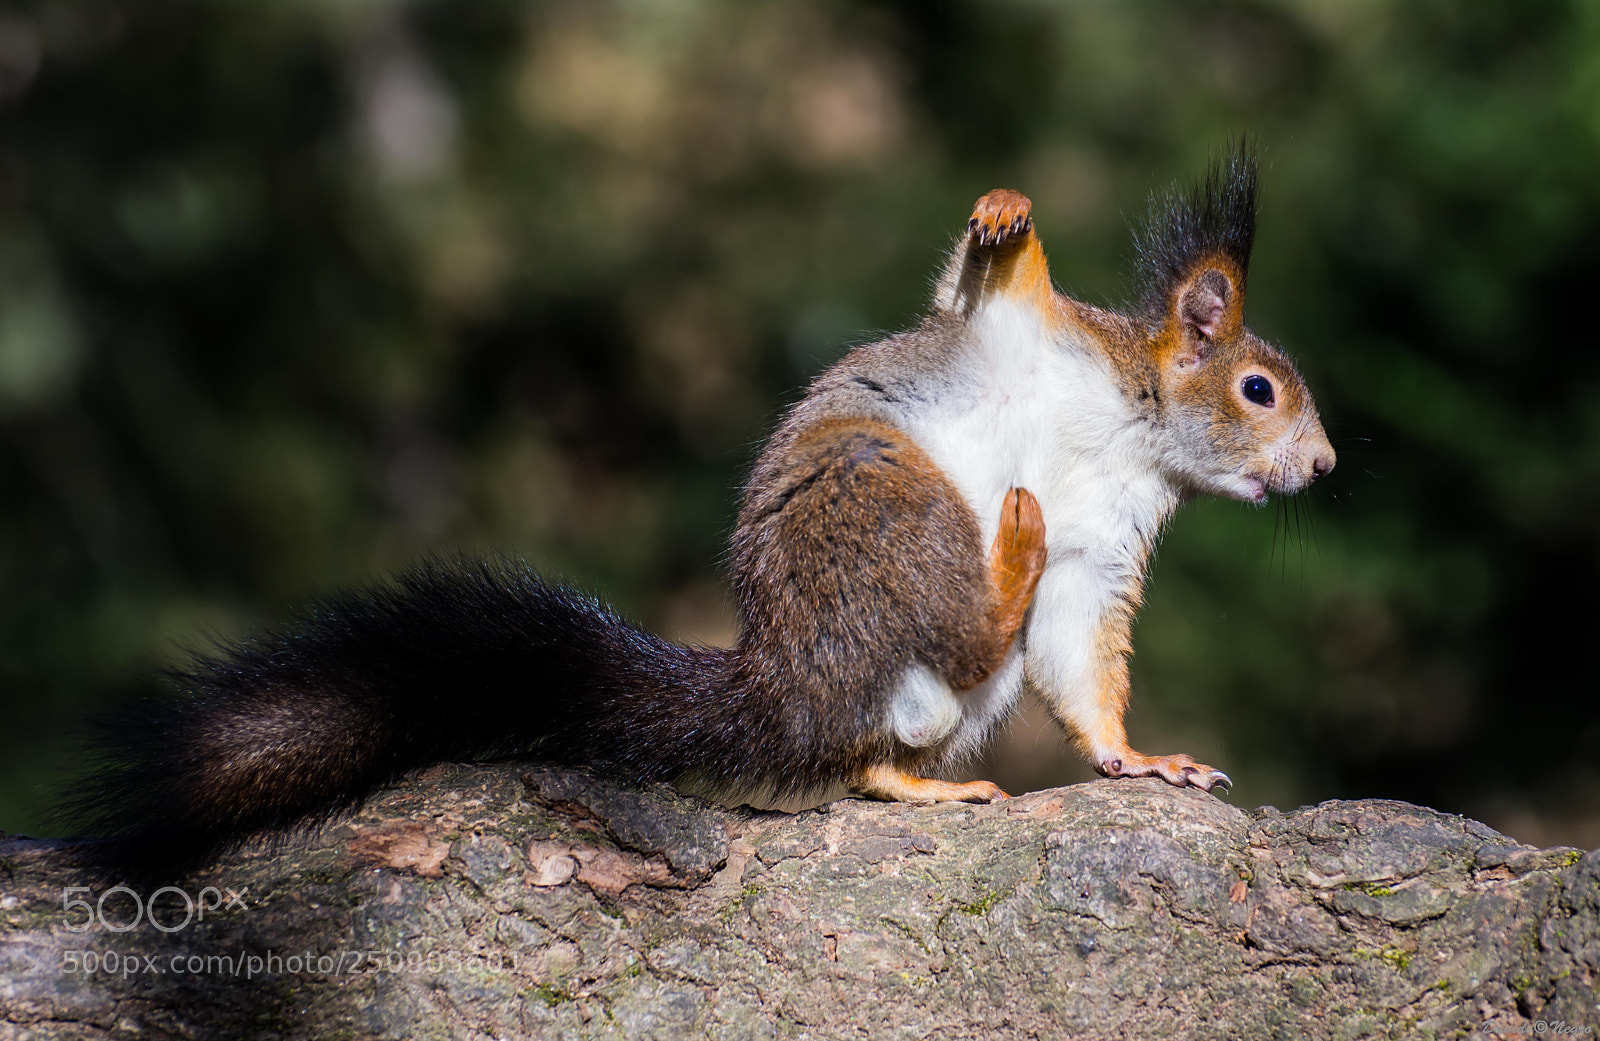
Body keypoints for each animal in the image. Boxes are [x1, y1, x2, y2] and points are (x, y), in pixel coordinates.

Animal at [65, 145, 1333, 873]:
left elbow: (1084, 663)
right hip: (888, 496)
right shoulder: (1021, 333)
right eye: (1259, 389)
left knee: (881, 747)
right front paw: (1005, 213)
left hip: (931, 659)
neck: (1127, 425)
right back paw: (1003, 548)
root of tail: (788, 679)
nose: (1321, 467)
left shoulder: (1104, 543)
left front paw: (1142, 761)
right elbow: (984, 283)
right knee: (928, 658)